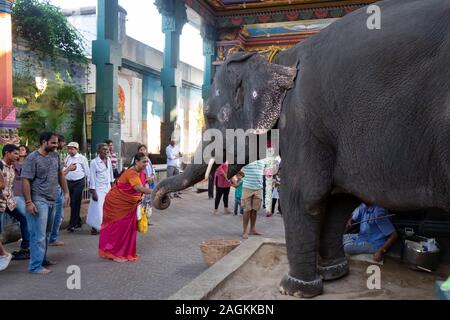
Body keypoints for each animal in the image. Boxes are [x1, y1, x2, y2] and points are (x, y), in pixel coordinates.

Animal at [153, 0, 450, 298]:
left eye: (210, 117)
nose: (163, 201)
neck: (275, 60)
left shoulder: (300, 120)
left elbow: (303, 195)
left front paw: (293, 288)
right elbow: (339, 199)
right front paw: (333, 274)